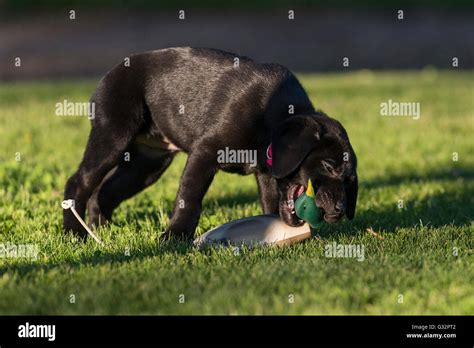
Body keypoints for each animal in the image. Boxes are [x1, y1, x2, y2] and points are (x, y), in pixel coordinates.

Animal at [64, 47, 360, 239]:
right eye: (329, 167)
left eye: (348, 181)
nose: (338, 211)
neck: (272, 118)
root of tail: (109, 74)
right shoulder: (205, 152)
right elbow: (190, 198)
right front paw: (174, 238)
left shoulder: (267, 174)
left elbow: (271, 202)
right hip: (113, 138)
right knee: (78, 182)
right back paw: (74, 234)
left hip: (147, 166)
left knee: (104, 192)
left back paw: (99, 229)